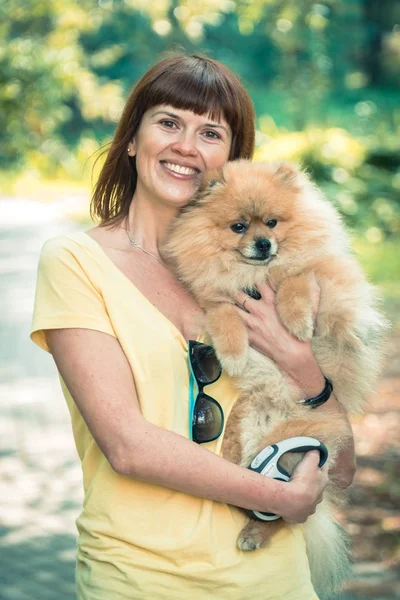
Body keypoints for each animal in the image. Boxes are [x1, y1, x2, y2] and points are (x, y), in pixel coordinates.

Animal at [161, 161, 386, 600]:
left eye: (271, 223)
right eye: (238, 226)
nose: (264, 244)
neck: (256, 275)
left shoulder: (321, 274)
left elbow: (299, 280)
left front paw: (297, 321)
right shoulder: (215, 297)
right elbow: (224, 315)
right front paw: (233, 353)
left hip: (294, 447)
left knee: (284, 513)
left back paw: (254, 534)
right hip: (243, 439)